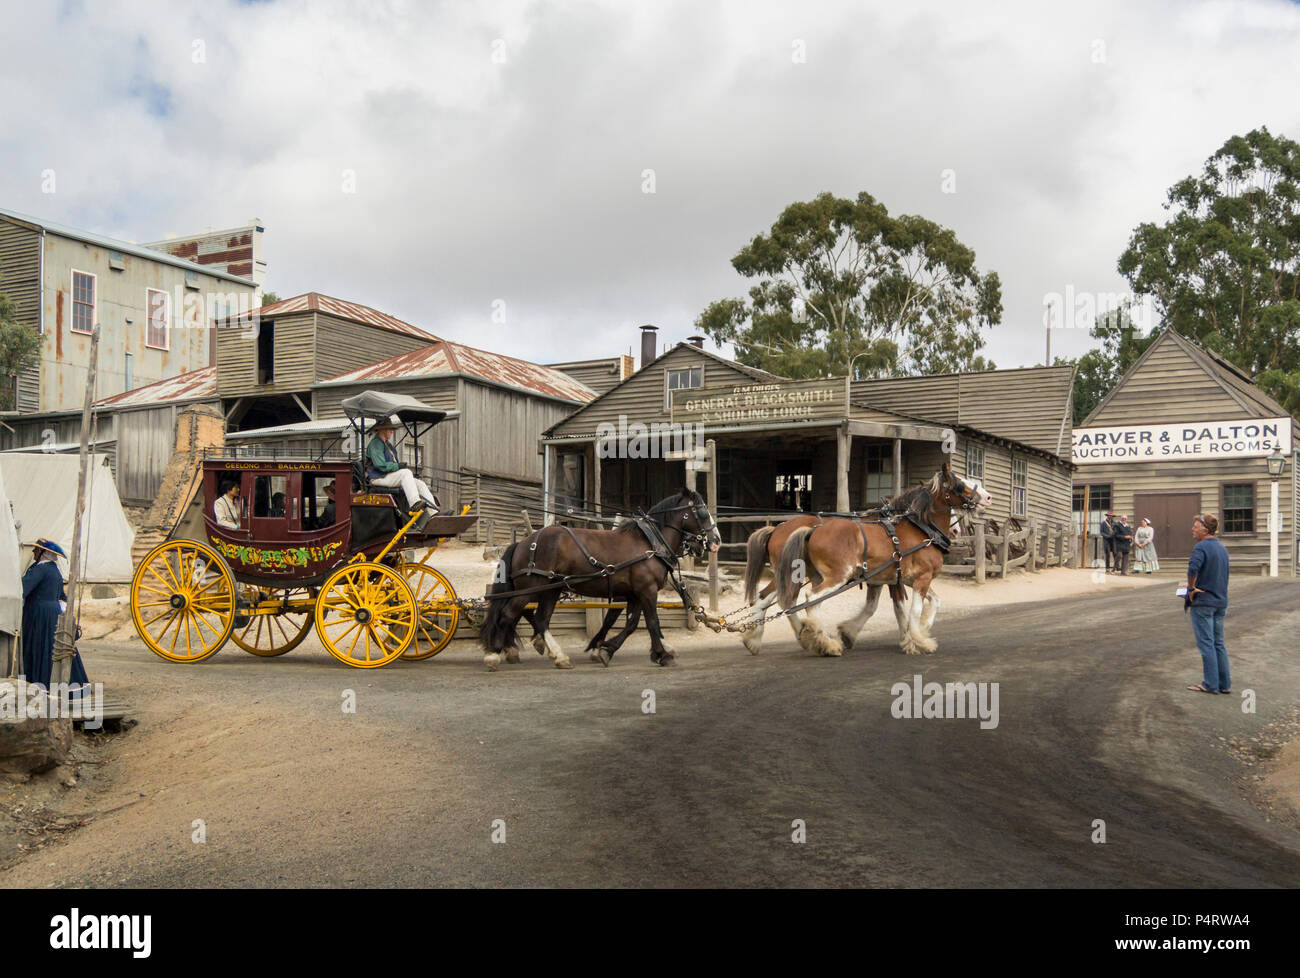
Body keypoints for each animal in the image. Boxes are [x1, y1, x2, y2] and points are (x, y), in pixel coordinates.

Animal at [480, 488, 722, 671]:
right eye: (702, 511)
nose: (716, 540)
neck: (650, 544)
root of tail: (523, 542)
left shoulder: (634, 593)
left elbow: (630, 624)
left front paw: (606, 649)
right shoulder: (647, 589)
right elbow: (652, 622)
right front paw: (662, 654)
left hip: (550, 589)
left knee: (540, 619)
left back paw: (558, 656)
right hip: (531, 588)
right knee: (508, 614)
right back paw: (494, 654)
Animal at [743, 462, 993, 658]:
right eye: (960, 484)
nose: (988, 497)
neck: (920, 529)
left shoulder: (894, 580)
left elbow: (913, 606)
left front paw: (913, 636)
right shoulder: (921, 578)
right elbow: (911, 610)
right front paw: (918, 640)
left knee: (773, 599)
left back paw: (766, 639)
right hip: (828, 576)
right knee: (805, 600)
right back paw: (821, 642)